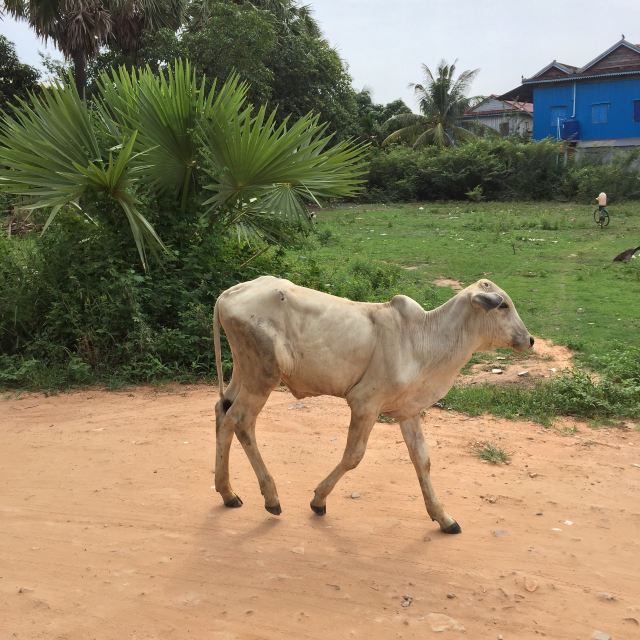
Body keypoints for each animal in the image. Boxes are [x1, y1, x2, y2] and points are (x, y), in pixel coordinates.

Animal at [212, 278, 532, 532]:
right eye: (503, 305)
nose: (529, 339)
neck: (424, 339)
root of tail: (227, 294)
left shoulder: (409, 411)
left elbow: (422, 460)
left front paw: (444, 518)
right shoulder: (365, 404)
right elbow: (353, 456)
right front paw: (318, 500)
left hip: (244, 372)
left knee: (222, 413)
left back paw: (227, 493)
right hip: (262, 376)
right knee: (241, 421)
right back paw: (270, 498)